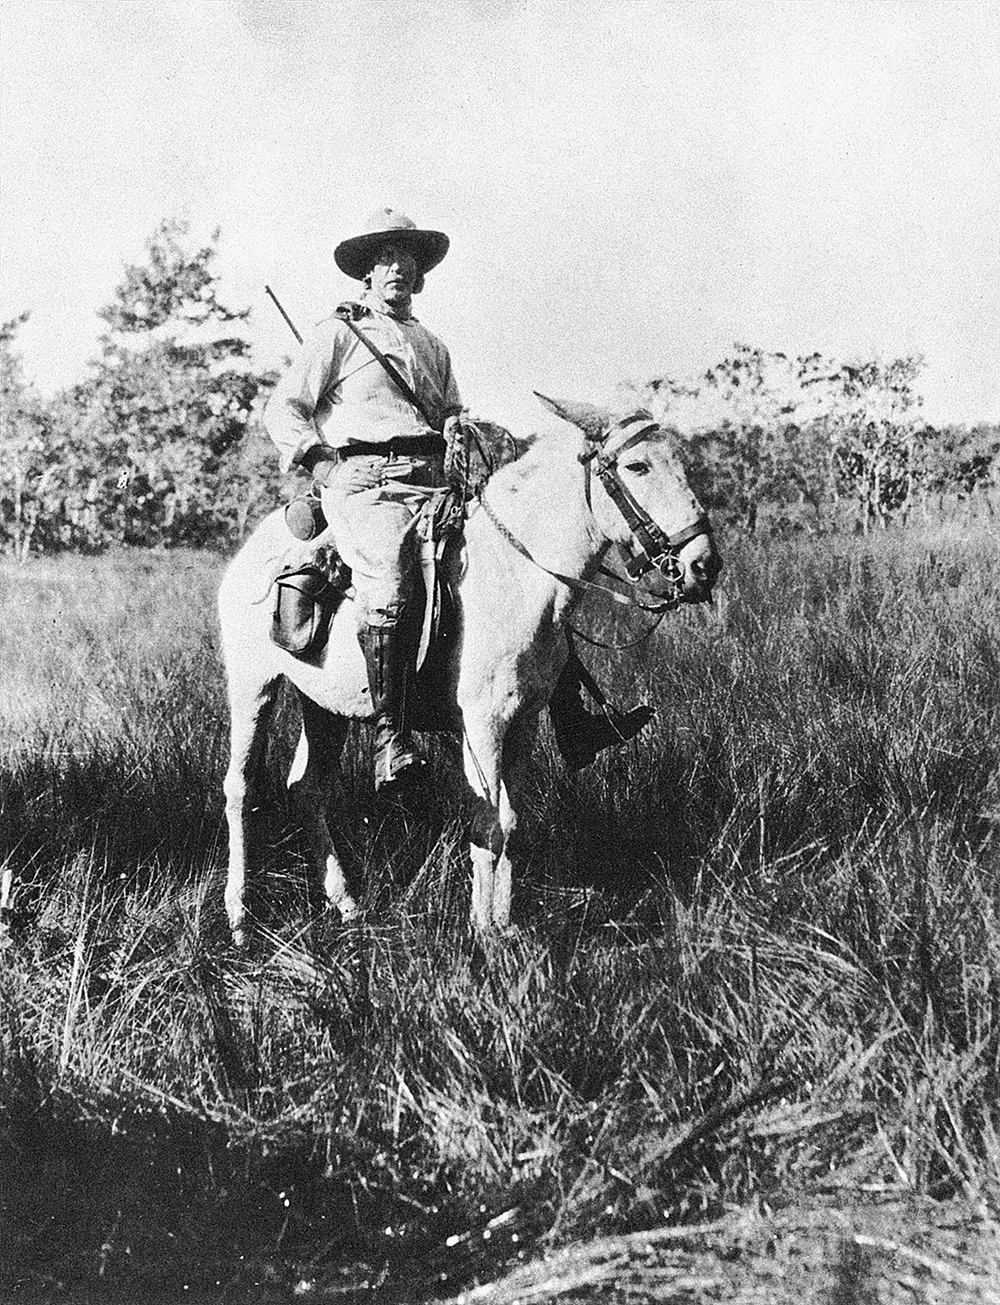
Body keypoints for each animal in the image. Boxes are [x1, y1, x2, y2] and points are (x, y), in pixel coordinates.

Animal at [219, 391, 720, 944]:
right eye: (638, 466)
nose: (704, 565)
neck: (518, 572)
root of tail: (253, 549)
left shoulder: (523, 722)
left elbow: (511, 821)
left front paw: (505, 923)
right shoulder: (482, 724)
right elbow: (487, 824)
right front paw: (483, 932)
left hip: (324, 707)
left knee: (307, 790)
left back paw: (347, 904)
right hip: (253, 687)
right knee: (241, 790)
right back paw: (240, 918)